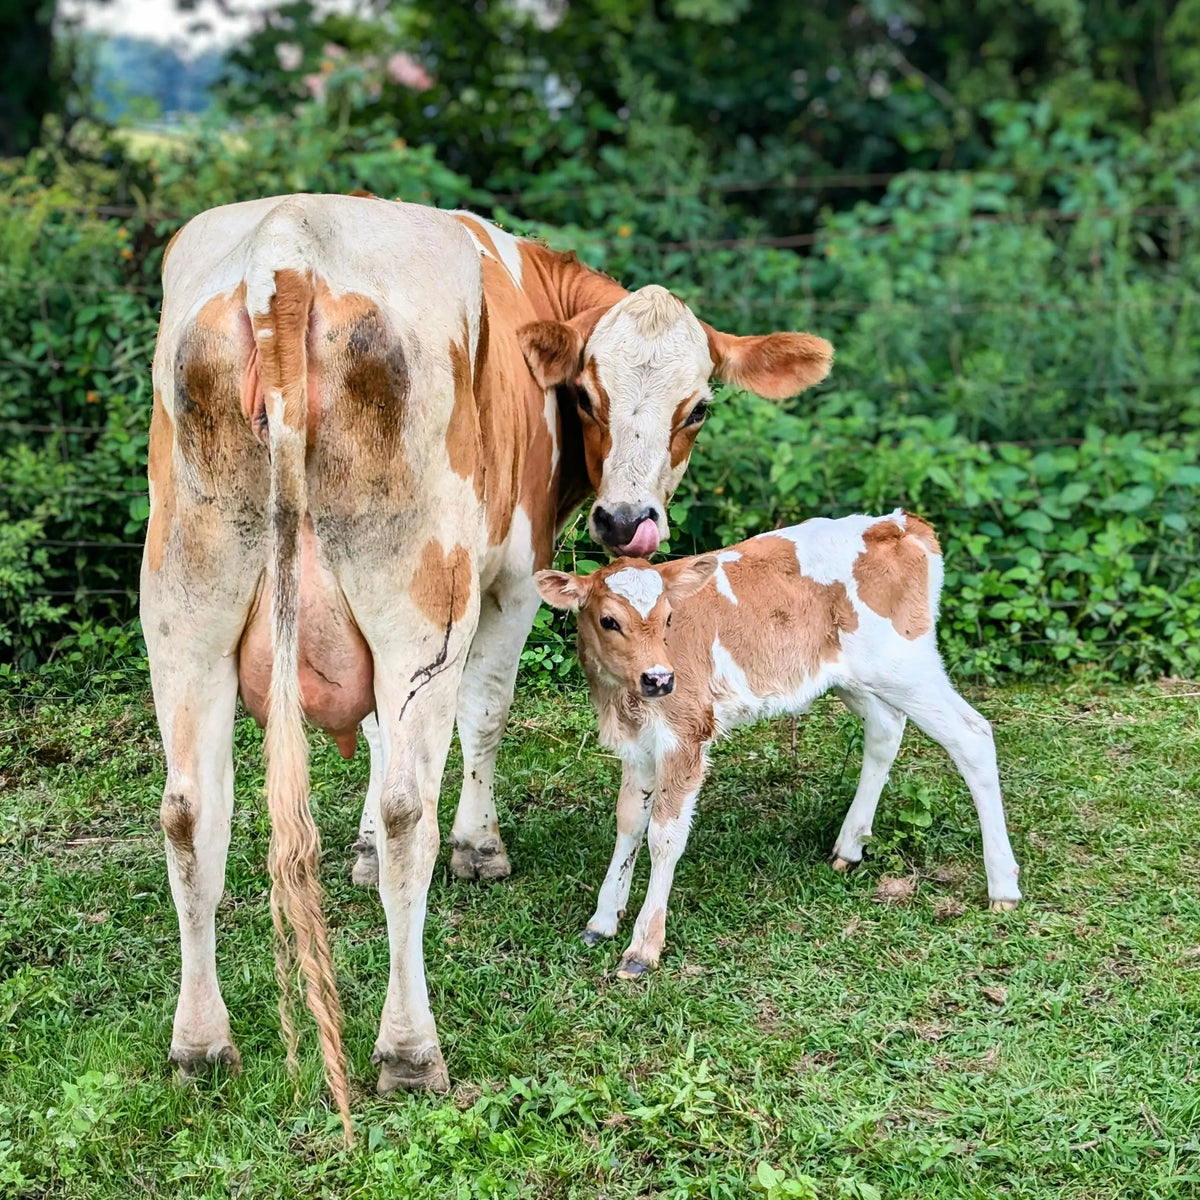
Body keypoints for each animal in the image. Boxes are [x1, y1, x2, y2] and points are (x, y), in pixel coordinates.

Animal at [142, 192, 834, 1138]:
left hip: (185, 613)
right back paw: (409, 1049)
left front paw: (359, 851)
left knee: (189, 817)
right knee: (410, 816)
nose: (627, 522)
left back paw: (200, 1046)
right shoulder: (511, 575)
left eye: (697, 408)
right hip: (420, 604)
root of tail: (283, 248)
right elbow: (487, 713)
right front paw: (480, 847)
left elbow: (373, 736)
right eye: (586, 393)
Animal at [535, 512, 1022, 980]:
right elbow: (629, 823)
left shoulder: (687, 732)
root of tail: (901, 524)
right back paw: (849, 848)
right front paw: (602, 919)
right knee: (886, 729)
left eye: (669, 618)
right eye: (608, 620)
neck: (625, 701)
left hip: (905, 664)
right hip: (856, 676)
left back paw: (1003, 885)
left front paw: (643, 946)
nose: (659, 678)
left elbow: (663, 835)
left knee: (973, 735)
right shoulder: (638, 745)